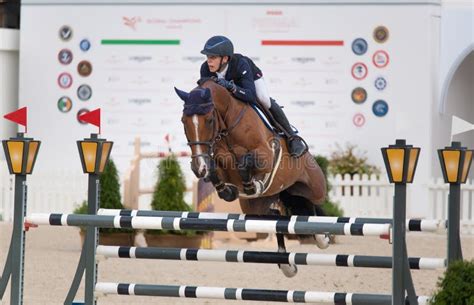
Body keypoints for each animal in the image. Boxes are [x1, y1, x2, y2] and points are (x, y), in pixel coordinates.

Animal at [176, 78, 328, 276]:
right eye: (183, 121)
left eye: (209, 120)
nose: (197, 167)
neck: (228, 126)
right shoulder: (221, 162)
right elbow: (217, 171)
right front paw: (227, 189)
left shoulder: (266, 155)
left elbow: (245, 163)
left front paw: (251, 184)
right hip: (257, 205)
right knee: (276, 216)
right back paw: (287, 265)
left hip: (316, 187)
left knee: (310, 204)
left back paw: (322, 237)